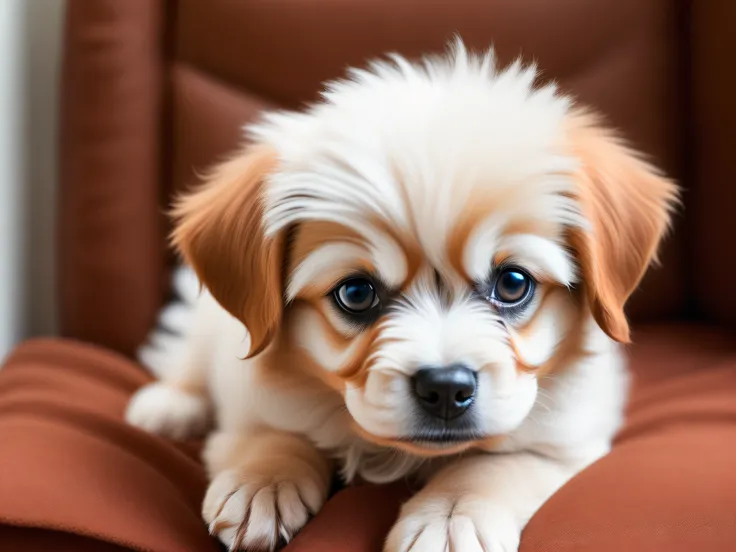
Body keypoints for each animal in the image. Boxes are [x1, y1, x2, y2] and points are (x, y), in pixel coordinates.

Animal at [125, 40, 680, 552]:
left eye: (512, 283)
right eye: (356, 293)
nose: (446, 388)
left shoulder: (570, 437)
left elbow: (497, 463)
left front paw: (450, 516)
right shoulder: (249, 398)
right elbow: (275, 431)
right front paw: (262, 482)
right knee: (187, 354)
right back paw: (169, 406)